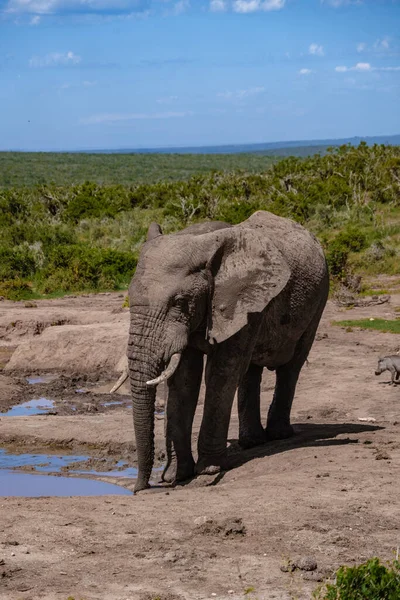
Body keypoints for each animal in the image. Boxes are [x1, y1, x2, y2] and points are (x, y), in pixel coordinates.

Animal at [121, 211, 328, 492]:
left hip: (319, 298)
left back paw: (279, 435)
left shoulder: (240, 300)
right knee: (251, 370)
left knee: (291, 365)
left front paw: (208, 471)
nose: (140, 488)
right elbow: (185, 380)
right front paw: (178, 476)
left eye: (179, 302)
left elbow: (221, 373)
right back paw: (252, 442)